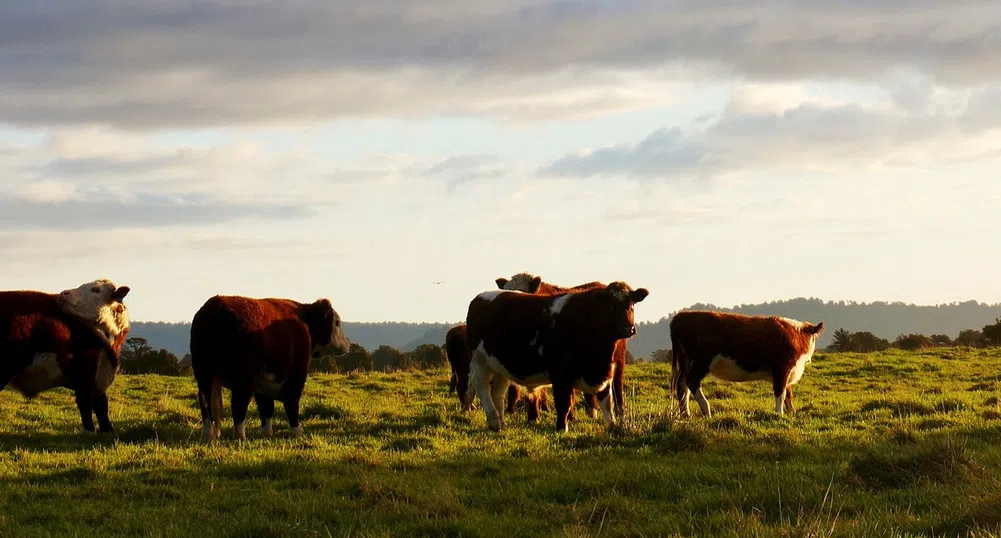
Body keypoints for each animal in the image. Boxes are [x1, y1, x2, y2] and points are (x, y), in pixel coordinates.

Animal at [0, 278, 131, 434]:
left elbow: (101, 405)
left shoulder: (99, 377)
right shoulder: (85, 373)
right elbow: (86, 404)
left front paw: (107, 429)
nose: (63, 293)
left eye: (96, 290)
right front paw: (89, 430)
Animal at [191, 294, 352, 440]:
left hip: (204, 375)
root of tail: (214, 307)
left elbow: (266, 407)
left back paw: (209, 435)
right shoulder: (296, 374)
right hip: (242, 378)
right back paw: (240, 436)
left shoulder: (264, 381)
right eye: (337, 322)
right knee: (238, 405)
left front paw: (267, 432)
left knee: (206, 405)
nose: (348, 344)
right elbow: (291, 403)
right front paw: (296, 431)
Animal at [668, 308, 824, 416]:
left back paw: (686, 414)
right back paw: (706, 410)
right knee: (691, 381)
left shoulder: (787, 372)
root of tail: (680, 317)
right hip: (702, 361)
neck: (796, 335)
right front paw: (779, 414)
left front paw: (791, 413)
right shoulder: (782, 368)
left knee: (682, 385)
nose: (809, 359)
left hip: (686, 361)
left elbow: (788, 395)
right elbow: (781, 393)